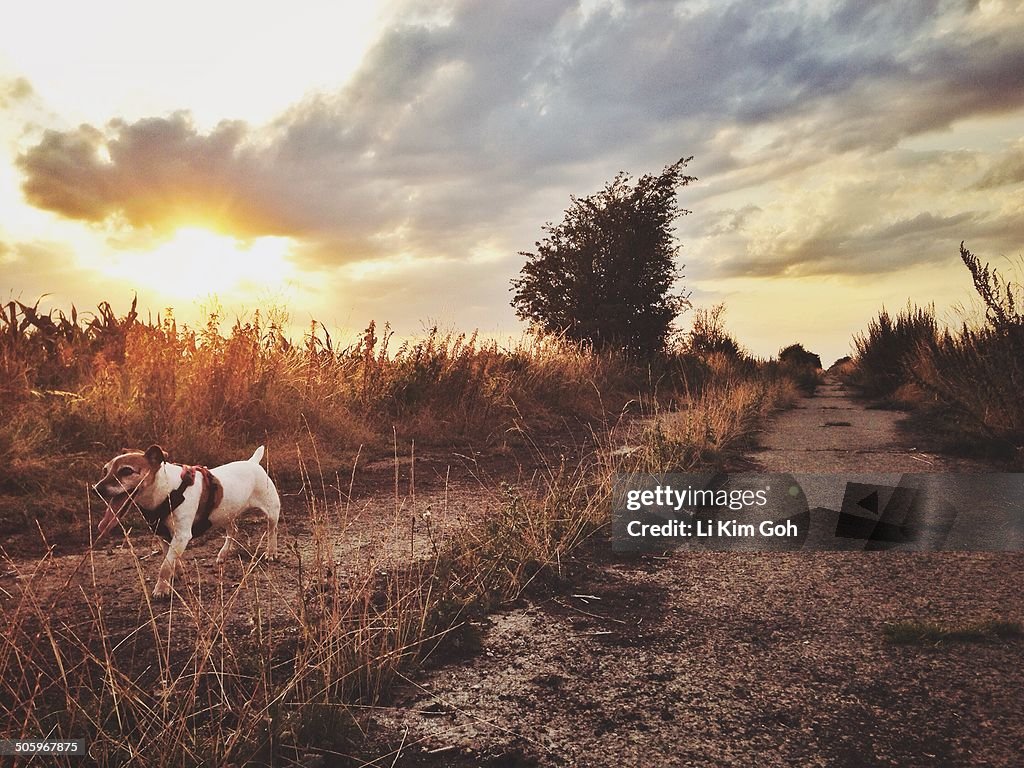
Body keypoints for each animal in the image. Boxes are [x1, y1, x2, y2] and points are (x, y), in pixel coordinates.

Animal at [93, 444, 280, 602]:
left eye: (126, 471)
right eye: (105, 470)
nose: (96, 489)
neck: (166, 490)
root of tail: (252, 462)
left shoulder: (182, 535)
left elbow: (165, 566)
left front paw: (161, 589)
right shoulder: (164, 535)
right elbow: (169, 558)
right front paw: (176, 573)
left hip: (271, 511)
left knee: (272, 531)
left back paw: (271, 552)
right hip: (225, 513)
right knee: (233, 530)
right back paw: (223, 554)